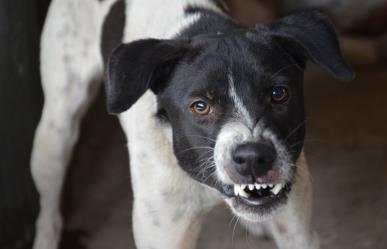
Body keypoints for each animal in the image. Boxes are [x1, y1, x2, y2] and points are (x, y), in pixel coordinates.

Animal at [31, 0, 354, 248]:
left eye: (279, 93)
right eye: (200, 106)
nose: (253, 158)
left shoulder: (298, 232)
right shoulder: (164, 233)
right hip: (55, 133)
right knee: (48, 210)